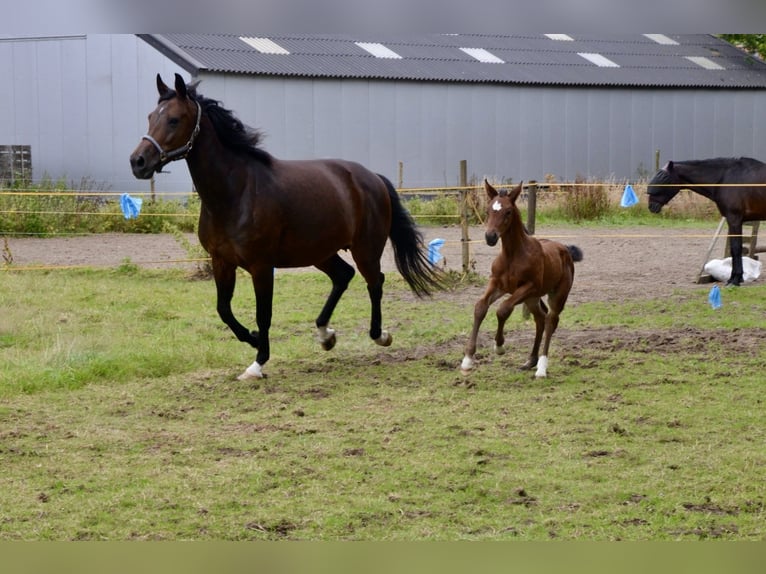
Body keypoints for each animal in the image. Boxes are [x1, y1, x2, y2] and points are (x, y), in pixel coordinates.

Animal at [130, 74, 440, 382]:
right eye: (150, 117)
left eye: (174, 119)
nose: (138, 162)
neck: (236, 192)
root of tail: (372, 178)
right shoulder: (221, 261)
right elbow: (224, 310)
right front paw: (253, 339)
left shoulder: (261, 266)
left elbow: (263, 314)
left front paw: (257, 363)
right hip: (320, 252)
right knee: (344, 276)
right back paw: (326, 335)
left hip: (365, 249)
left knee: (374, 283)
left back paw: (380, 336)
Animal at [462, 182, 584, 380]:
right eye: (488, 210)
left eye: (508, 212)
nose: (490, 237)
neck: (512, 255)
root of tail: (565, 249)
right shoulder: (497, 284)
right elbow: (480, 308)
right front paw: (467, 360)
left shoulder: (528, 287)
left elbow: (503, 309)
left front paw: (499, 346)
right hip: (532, 299)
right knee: (540, 318)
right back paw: (531, 361)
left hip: (556, 294)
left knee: (550, 320)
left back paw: (541, 368)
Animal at [652, 158, 766, 286]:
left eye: (664, 179)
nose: (651, 205)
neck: (724, 178)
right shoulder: (733, 221)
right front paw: (734, 278)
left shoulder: (734, 219)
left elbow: (736, 249)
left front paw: (735, 280)